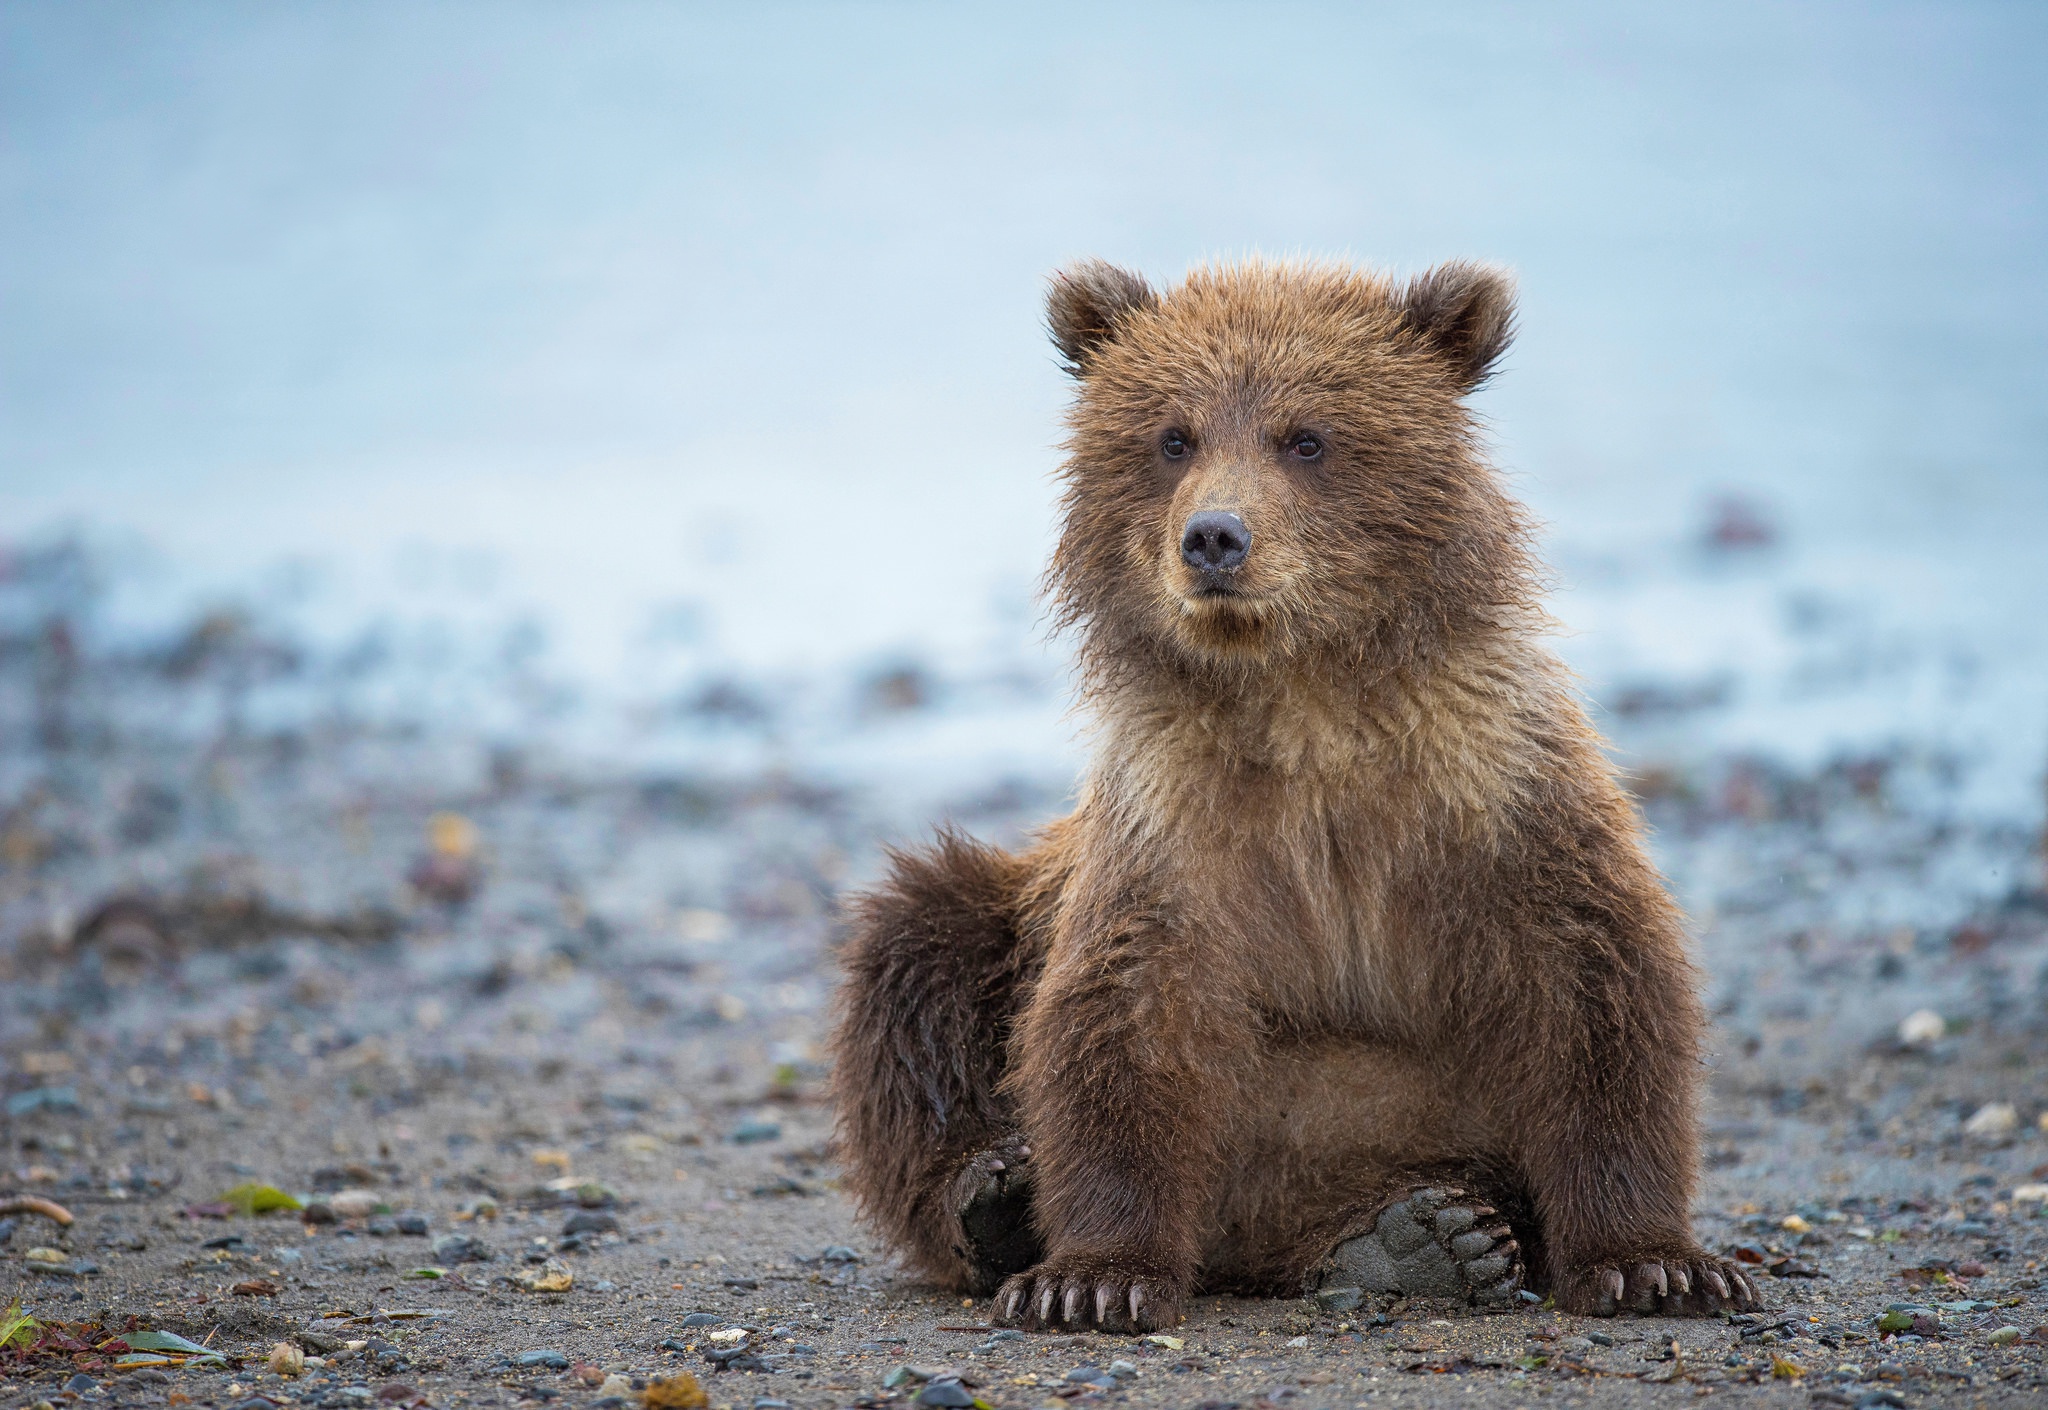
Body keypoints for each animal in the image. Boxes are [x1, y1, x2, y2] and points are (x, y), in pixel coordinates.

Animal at [827, 259, 1761, 1328]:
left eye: (1306, 436)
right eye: (1173, 436)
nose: (1214, 537)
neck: (1305, 698)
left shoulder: (1498, 791)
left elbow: (1597, 984)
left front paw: (1657, 1263)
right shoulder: (1177, 827)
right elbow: (1128, 1016)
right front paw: (1092, 1277)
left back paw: (1425, 1236)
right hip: (1014, 917)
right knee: (917, 949)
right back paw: (992, 1195)